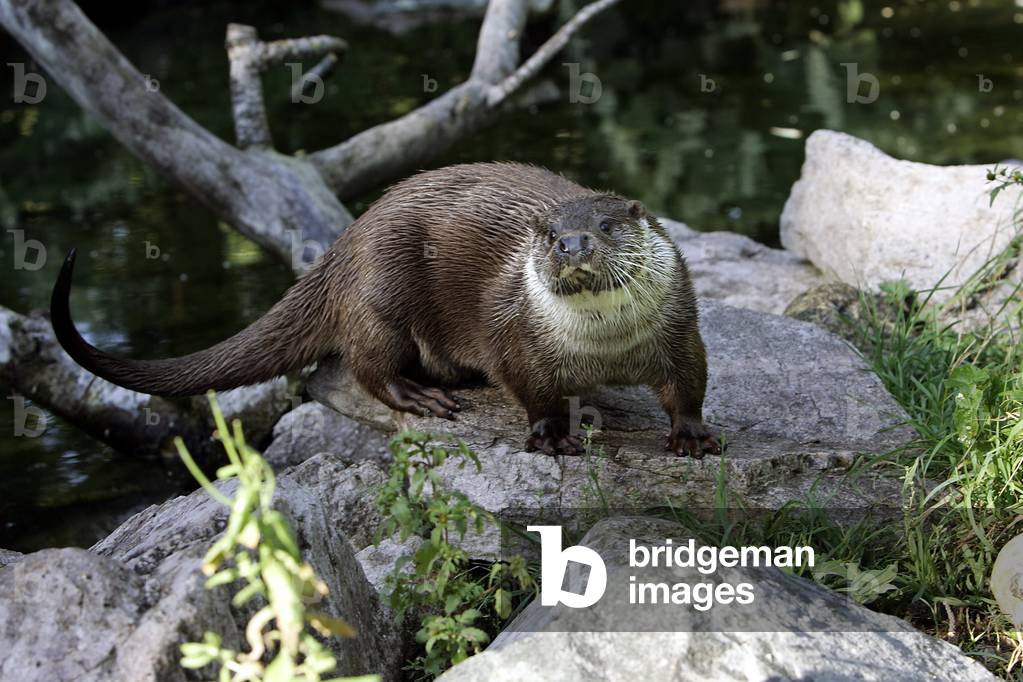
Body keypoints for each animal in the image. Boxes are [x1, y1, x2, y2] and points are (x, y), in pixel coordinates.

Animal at [51, 163, 720, 458]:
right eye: (550, 233)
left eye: (605, 226)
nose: (572, 245)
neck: (602, 346)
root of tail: (345, 241)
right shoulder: (515, 335)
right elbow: (532, 390)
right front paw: (553, 435)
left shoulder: (680, 326)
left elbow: (689, 382)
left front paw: (692, 434)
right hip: (382, 292)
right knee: (364, 365)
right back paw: (421, 394)